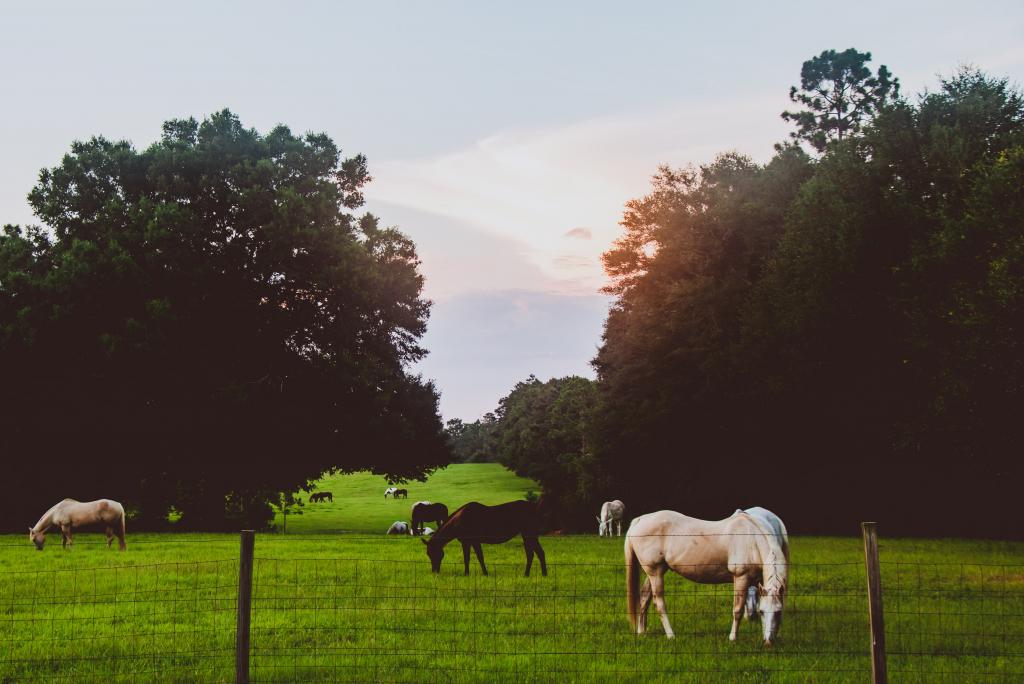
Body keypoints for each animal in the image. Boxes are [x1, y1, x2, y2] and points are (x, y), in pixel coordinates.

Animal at [622, 507, 790, 647]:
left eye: (778, 612)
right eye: (762, 612)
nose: (768, 643)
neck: (752, 539)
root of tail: (640, 520)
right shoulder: (741, 578)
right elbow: (737, 610)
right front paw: (732, 639)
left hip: (656, 572)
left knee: (644, 598)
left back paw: (642, 632)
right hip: (655, 573)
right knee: (659, 604)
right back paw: (671, 635)